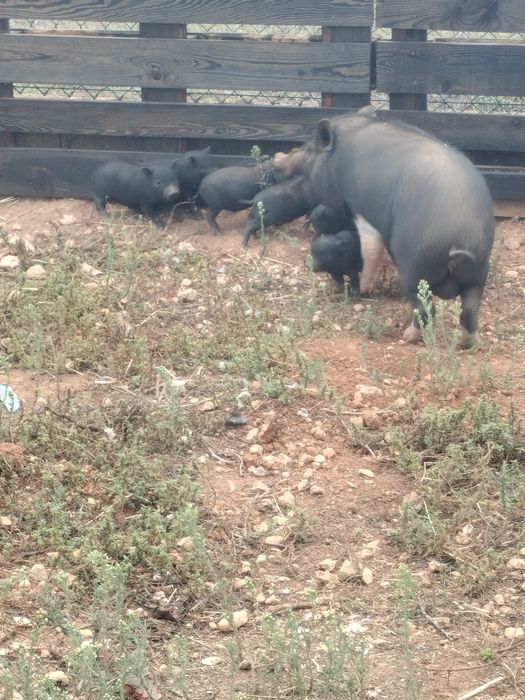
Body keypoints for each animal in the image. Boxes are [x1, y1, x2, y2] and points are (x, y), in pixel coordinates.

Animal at [275, 107, 495, 348]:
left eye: (309, 148)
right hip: (478, 274)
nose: (277, 157)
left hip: (415, 269)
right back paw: (468, 343)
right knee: (469, 310)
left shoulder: (363, 211)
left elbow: (370, 249)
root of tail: (462, 237)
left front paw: (363, 287)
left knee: (426, 309)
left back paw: (407, 337)